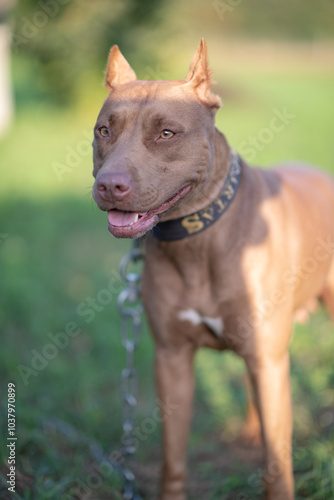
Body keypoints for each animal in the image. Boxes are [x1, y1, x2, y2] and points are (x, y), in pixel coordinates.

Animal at [92, 40, 334, 500]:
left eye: (166, 133)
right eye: (103, 131)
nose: (110, 184)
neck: (197, 240)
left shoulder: (268, 358)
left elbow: (277, 465)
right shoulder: (172, 361)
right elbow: (173, 457)